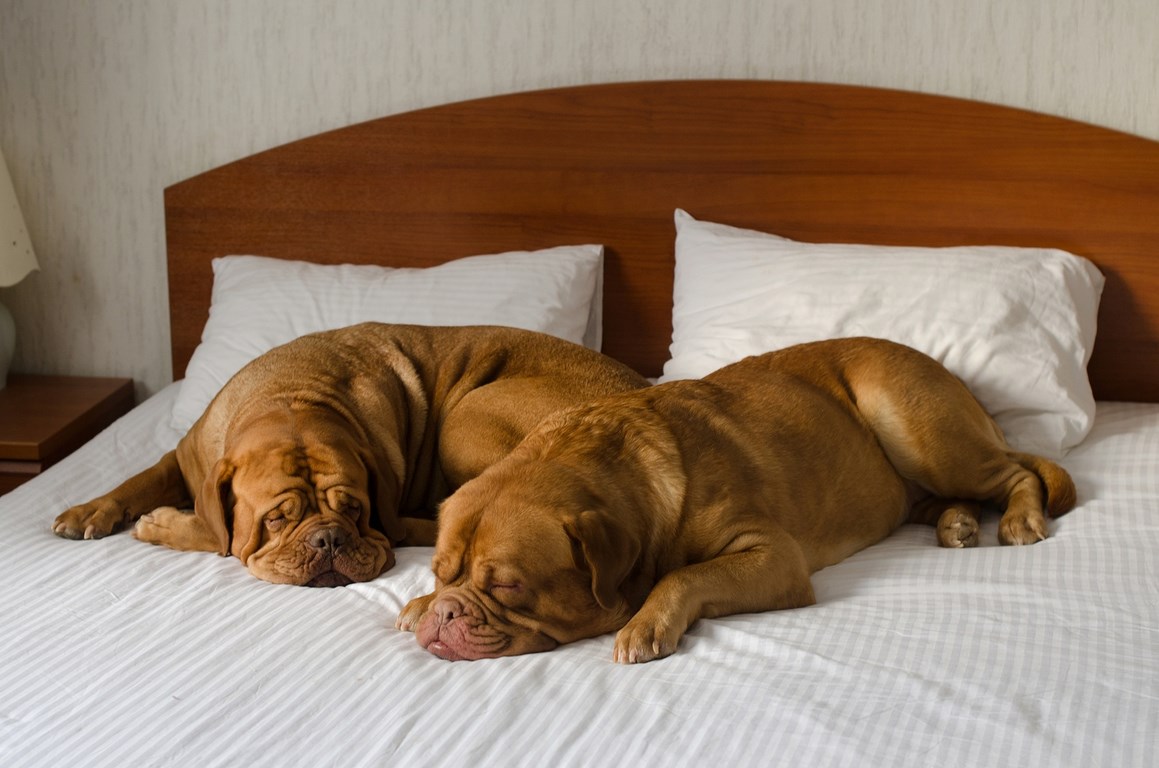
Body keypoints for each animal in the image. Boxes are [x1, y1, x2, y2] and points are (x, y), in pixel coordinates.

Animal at [54, 322, 649, 586]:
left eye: (355, 509)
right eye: (277, 518)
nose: (329, 539)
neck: (292, 393)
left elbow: (218, 536)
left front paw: (163, 525)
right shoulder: (187, 458)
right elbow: (141, 478)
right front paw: (90, 510)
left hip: (467, 415)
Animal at [401, 335, 1075, 662]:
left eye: (510, 586)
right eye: (441, 571)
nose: (446, 614)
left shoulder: (771, 556)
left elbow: (685, 576)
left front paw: (646, 623)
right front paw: (420, 603)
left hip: (913, 425)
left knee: (1017, 471)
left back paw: (1019, 518)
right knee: (953, 496)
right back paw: (956, 523)